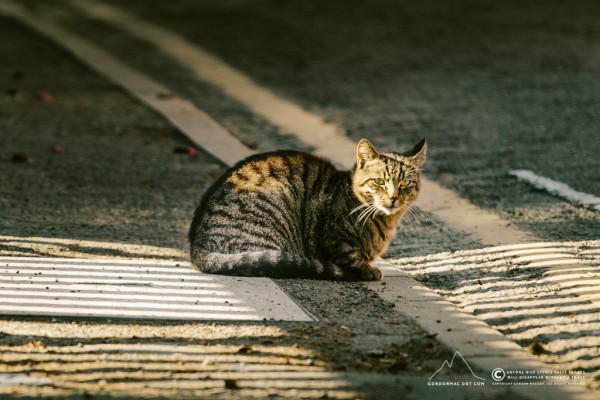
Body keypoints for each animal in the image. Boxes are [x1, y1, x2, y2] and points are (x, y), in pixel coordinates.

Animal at [189, 138, 426, 282]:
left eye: (405, 183)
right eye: (378, 182)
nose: (393, 198)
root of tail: (196, 248)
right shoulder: (335, 240)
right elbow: (351, 258)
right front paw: (368, 270)